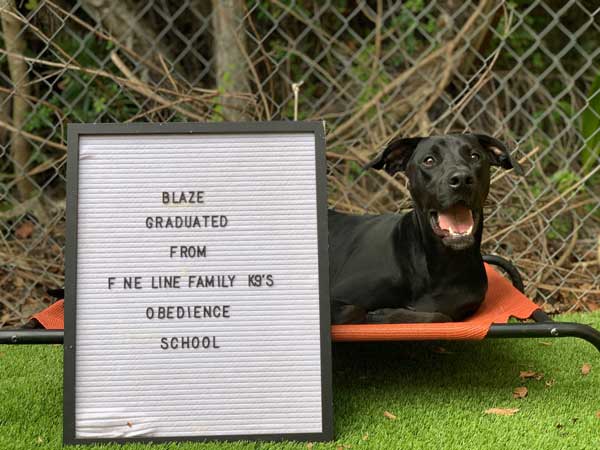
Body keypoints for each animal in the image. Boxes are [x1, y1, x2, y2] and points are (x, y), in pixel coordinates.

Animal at [328, 133, 520, 324]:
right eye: (429, 160)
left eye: (474, 156)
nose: (461, 180)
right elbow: (354, 310)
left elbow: (440, 317)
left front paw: (387, 315)